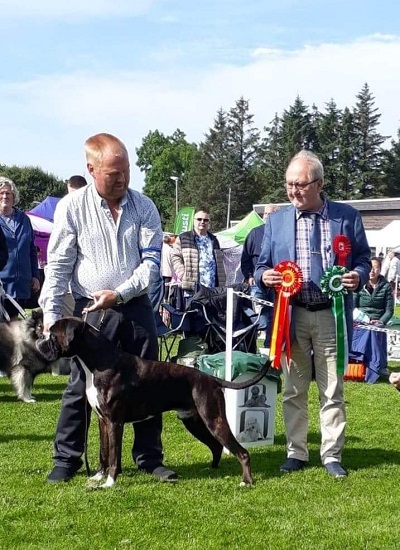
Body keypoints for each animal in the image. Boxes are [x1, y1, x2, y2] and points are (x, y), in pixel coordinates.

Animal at [36, 317, 272, 489]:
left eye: (52, 336)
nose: (40, 343)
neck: (98, 363)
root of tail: (210, 378)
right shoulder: (103, 422)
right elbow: (104, 452)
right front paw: (98, 477)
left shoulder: (115, 423)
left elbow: (113, 456)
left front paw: (109, 483)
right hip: (194, 421)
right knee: (216, 445)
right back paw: (211, 470)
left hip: (214, 420)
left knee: (242, 452)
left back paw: (247, 481)